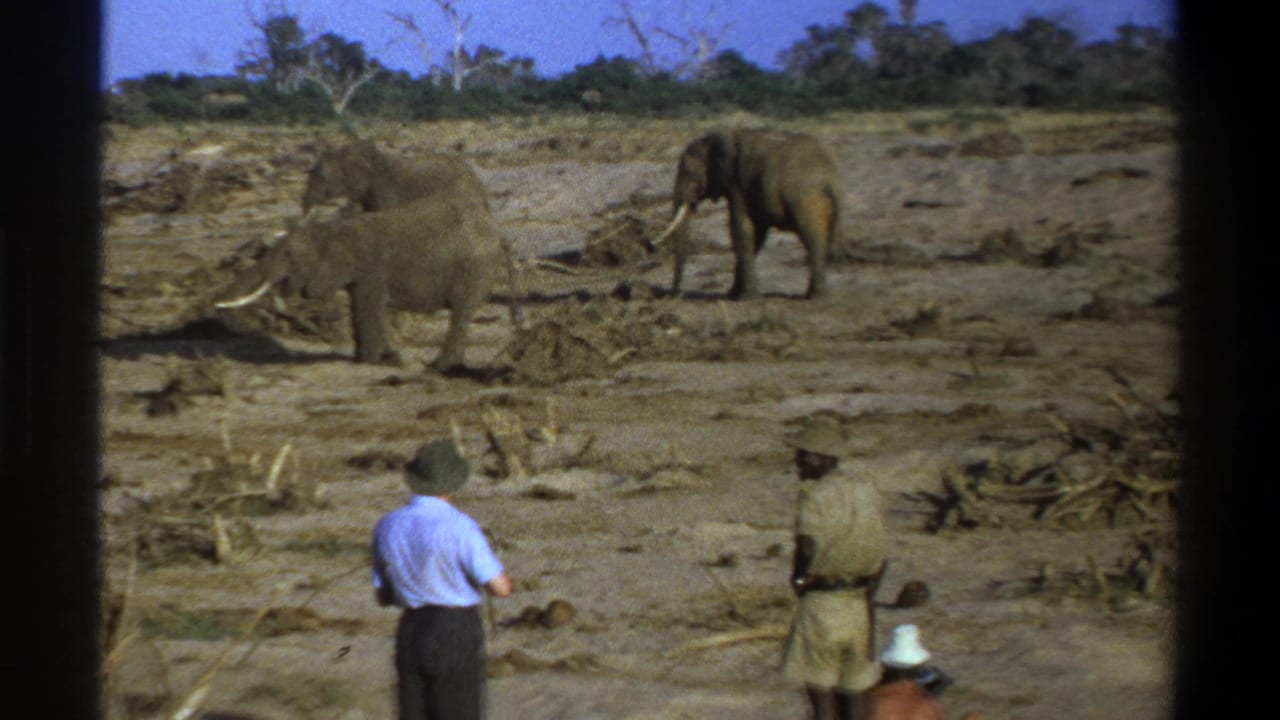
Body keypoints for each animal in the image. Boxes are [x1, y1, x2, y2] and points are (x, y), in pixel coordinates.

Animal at [213, 196, 506, 370]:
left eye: (288, 255)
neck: (333, 229)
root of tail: (496, 231)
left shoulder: (372, 270)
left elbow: (368, 308)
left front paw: (369, 362)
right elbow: (362, 308)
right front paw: (387, 359)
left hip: (473, 270)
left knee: (461, 312)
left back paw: (440, 367)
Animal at [658, 130, 841, 300]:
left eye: (688, 172)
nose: (675, 294)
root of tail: (829, 179)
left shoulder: (737, 184)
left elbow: (741, 230)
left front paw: (746, 298)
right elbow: (756, 235)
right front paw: (733, 295)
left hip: (805, 202)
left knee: (812, 239)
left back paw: (816, 297)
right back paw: (815, 295)